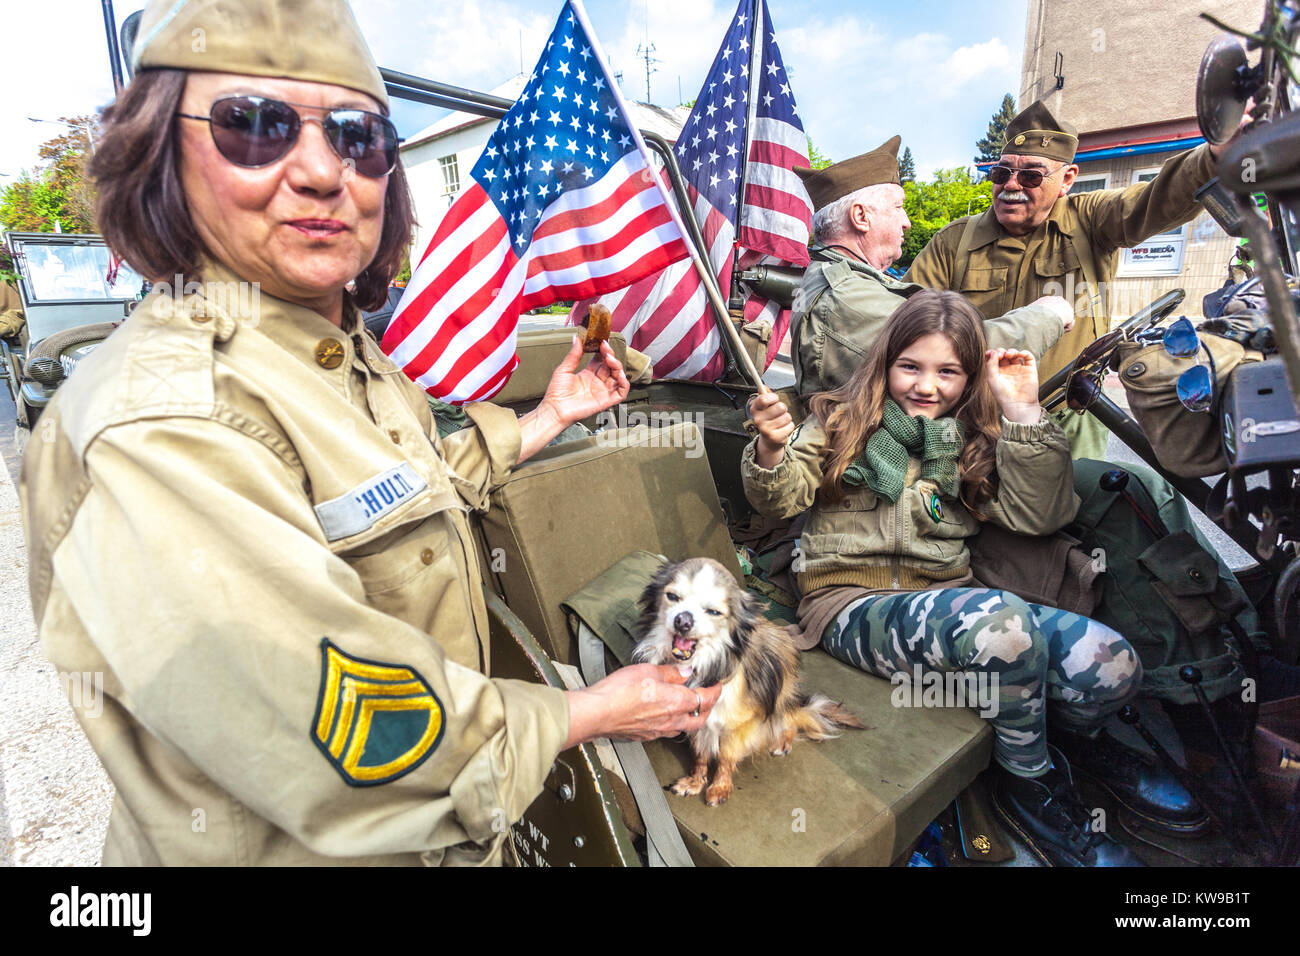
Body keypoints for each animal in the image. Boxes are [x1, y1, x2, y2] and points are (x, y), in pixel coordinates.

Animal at [629, 556, 863, 806]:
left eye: (713, 612)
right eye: (672, 597)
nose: (683, 620)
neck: (703, 664)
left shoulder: (741, 724)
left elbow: (725, 756)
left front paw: (720, 787)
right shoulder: (700, 719)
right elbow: (701, 754)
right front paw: (695, 781)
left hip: (780, 696)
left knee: (788, 720)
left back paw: (782, 741)